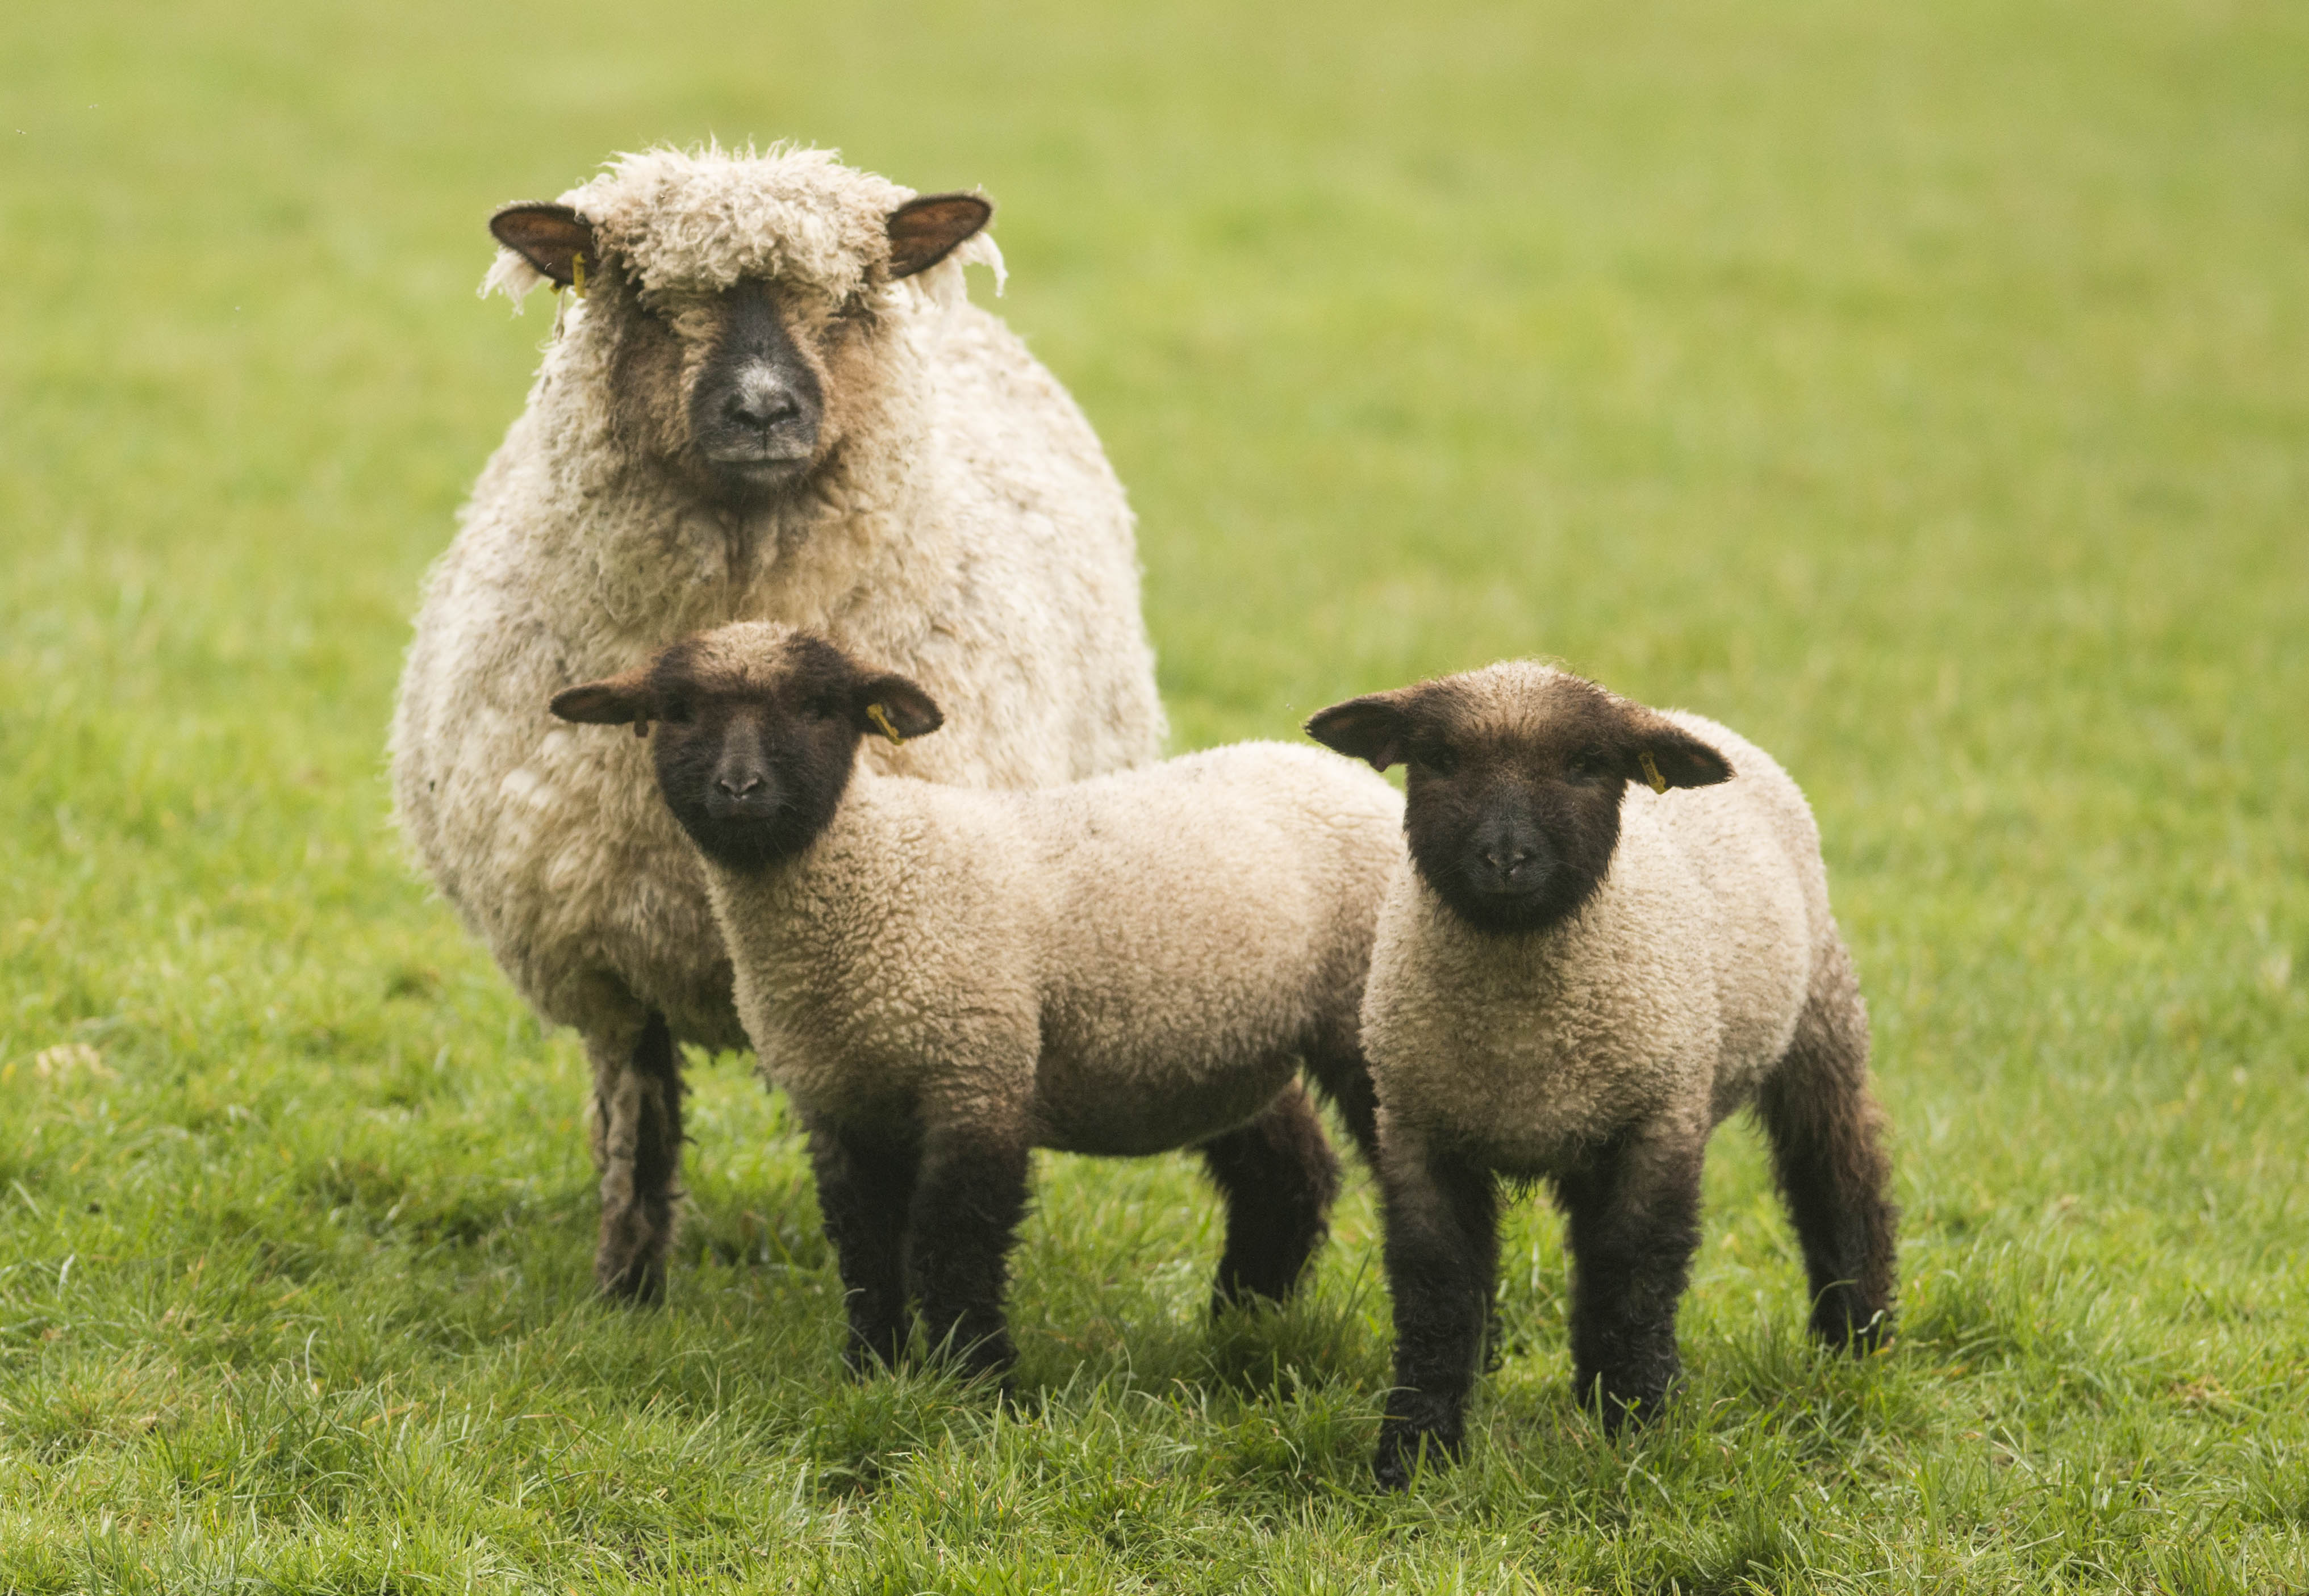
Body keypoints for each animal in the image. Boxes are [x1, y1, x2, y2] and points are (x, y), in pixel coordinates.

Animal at [388, 145, 1167, 1303]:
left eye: (846, 299)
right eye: (648, 298)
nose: (762, 410)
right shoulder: (609, 959)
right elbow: (637, 1132)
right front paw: (624, 1295)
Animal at [549, 620, 1402, 1379]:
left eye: (820, 707)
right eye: (677, 710)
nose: (738, 789)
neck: (873, 870)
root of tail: (1340, 773)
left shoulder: (975, 1072)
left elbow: (954, 1245)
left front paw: (977, 1382)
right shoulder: (841, 1101)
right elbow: (865, 1245)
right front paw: (874, 1369)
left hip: (1355, 1018)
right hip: (1228, 1042)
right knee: (1289, 1174)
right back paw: (1241, 1321)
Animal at [1305, 662, 1897, 1488]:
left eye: (1587, 764)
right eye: (1440, 759)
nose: (1505, 858)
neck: (1522, 1033)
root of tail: (1680, 716)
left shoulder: (1662, 1119)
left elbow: (1637, 1274)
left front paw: (1646, 1427)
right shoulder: (1418, 1129)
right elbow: (1437, 1290)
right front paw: (1415, 1455)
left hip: (1819, 1023)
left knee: (1838, 1176)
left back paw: (1855, 1340)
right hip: (1590, 1120)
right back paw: (1591, 1391)